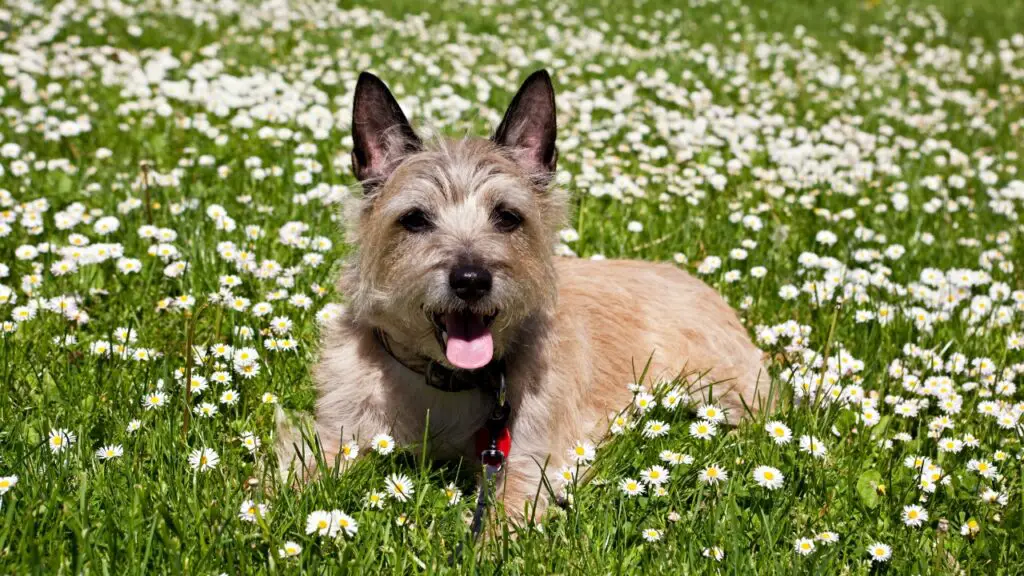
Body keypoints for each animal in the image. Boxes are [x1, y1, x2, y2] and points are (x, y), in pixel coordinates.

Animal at [280, 69, 770, 518]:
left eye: (507, 216)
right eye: (415, 219)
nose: (471, 279)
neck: (448, 382)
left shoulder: (530, 459)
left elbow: (505, 516)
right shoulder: (337, 432)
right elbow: (291, 478)